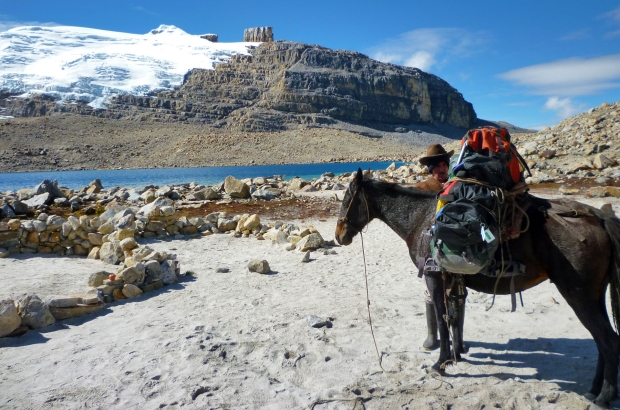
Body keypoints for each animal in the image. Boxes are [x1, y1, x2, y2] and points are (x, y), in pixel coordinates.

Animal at [336, 168, 620, 406]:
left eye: (348, 197)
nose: (339, 236)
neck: (420, 220)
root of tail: (600, 217)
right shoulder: (452, 279)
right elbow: (453, 316)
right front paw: (456, 355)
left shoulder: (433, 276)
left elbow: (442, 318)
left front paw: (440, 363)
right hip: (594, 296)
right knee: (602, 342)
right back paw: (594, 390)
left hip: (579, 296)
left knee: (608, 341)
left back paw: (603, 396)